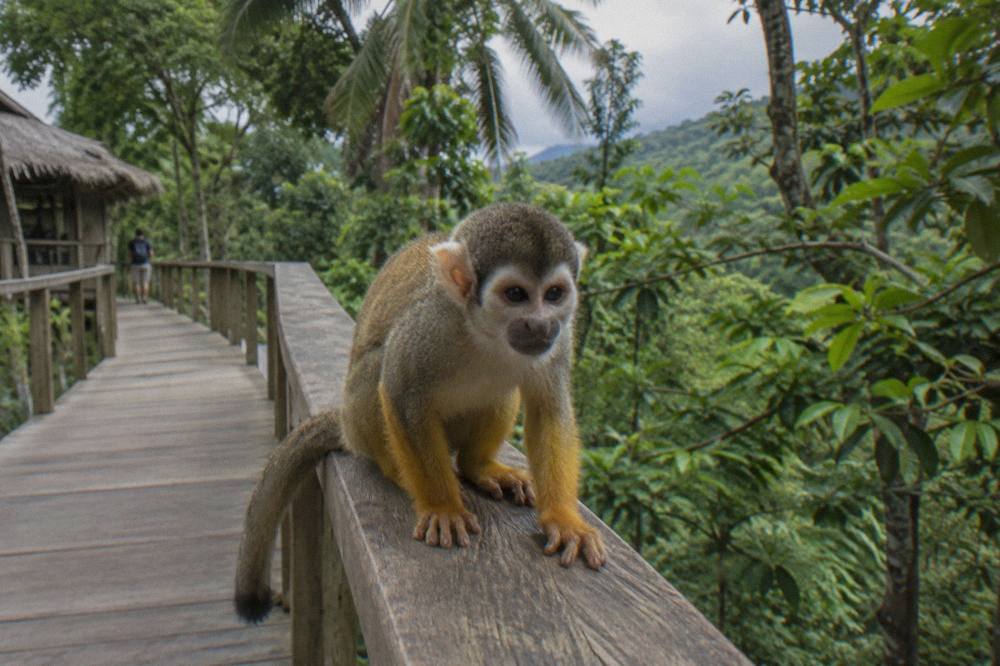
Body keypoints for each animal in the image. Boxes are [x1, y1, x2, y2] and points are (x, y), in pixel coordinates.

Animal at [234, 202, 606, 624]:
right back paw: (398, 471)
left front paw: (563, 518)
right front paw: (442, 506)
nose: (541, 324)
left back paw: (479, 467)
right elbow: (400, 393)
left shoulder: (562, 337)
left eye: (555, 294)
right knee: (378, 372)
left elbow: (549, 411)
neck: (485, 332)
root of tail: (344, 423)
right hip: (359, 416)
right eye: (516, 294)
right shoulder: (430, 325)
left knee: (500, 392)